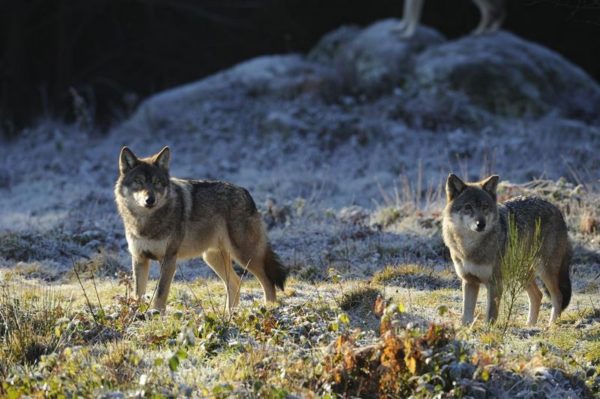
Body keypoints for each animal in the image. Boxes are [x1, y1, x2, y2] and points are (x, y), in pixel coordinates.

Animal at [116, 147, 290, 316]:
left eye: (157, 182)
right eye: (138, 181)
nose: (150, 200)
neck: (145, 222)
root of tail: (245, 192)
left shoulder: (168, 259)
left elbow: (160, 293)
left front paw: (156, 314)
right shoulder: (139, 259)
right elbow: (138, 294)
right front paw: (136, 314)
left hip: (245, 255)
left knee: (268, 281)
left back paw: (269, 308)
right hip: (212, 258)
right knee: (236, 282)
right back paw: (230, 314)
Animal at [440, 173, 572, 326]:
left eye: (485, 207)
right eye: (468, 207)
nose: (481, 224)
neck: (470, 247)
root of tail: (556, 209)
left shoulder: (495, 284)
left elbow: (490, 317)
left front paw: (487, 331)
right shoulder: (469, 281)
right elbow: (465, 317)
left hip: (545, 271)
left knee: (558, 296)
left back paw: (550, 326)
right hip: (522, 274)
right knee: (537, 295)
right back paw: (530, 326)